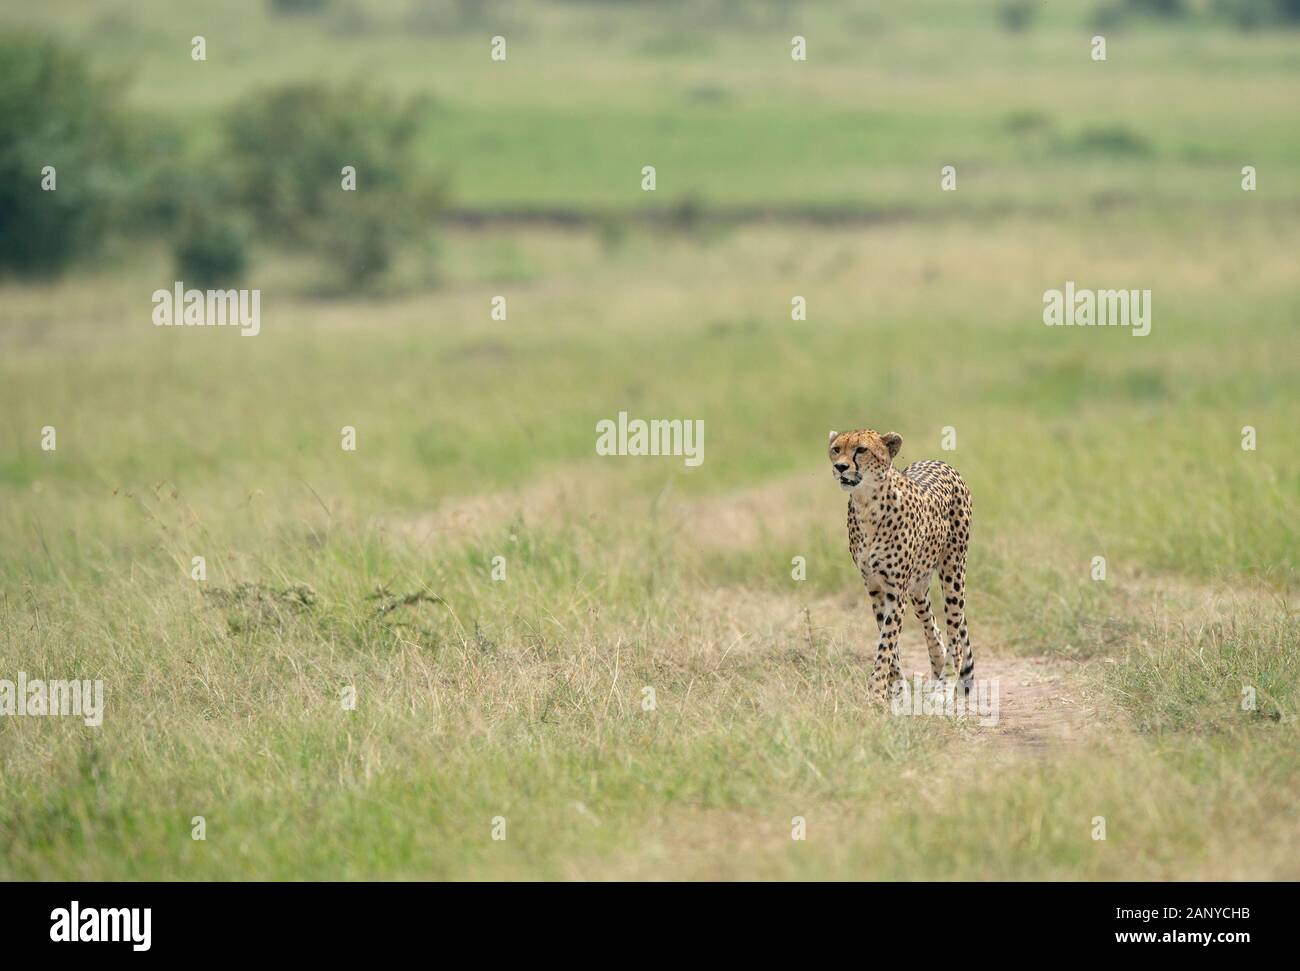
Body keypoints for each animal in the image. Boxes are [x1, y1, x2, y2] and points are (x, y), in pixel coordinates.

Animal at [826, 428, 972, 701]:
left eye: (861, 450)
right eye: (836, 449)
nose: (840, 467)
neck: (867, 504)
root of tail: (941, 462)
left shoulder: (896, 591)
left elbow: (887, 642)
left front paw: (875, 691)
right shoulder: (875, 588)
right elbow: (888, 641)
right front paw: (896, 689)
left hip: (953, 571)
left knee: (955, 633)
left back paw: (945, 684)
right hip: (918, 586)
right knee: (932, 625)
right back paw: (937, 666)